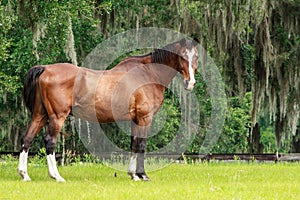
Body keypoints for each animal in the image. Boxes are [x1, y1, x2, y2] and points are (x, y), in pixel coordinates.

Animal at [17, 38, 198, 182]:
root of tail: (45, 68)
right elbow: (141, 145)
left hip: (40, 115)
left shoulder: (135, 119)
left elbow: (134, 144)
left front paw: (133, 175)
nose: (190, 83)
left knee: (27, 138)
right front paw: (143, 175)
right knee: (50, 142)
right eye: (182, 56)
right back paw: (56, 176)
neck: (148, 73)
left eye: (195, 56)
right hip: (56, 117)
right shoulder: (145, 117)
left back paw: (24, 174)